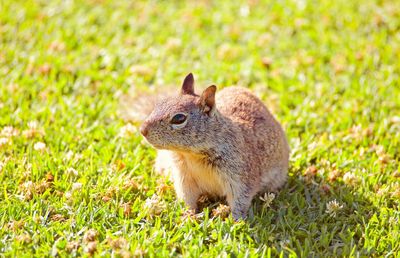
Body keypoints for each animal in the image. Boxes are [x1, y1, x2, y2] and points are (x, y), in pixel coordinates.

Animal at [138, 73, 288, 220]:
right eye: (159, 104)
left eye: (179, 118)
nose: (142, 130)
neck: (192, 154)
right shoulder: (184, 178)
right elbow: (187, 198)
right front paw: (188, 216)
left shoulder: (240, 177)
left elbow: (240, 200)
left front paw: (236, 221)